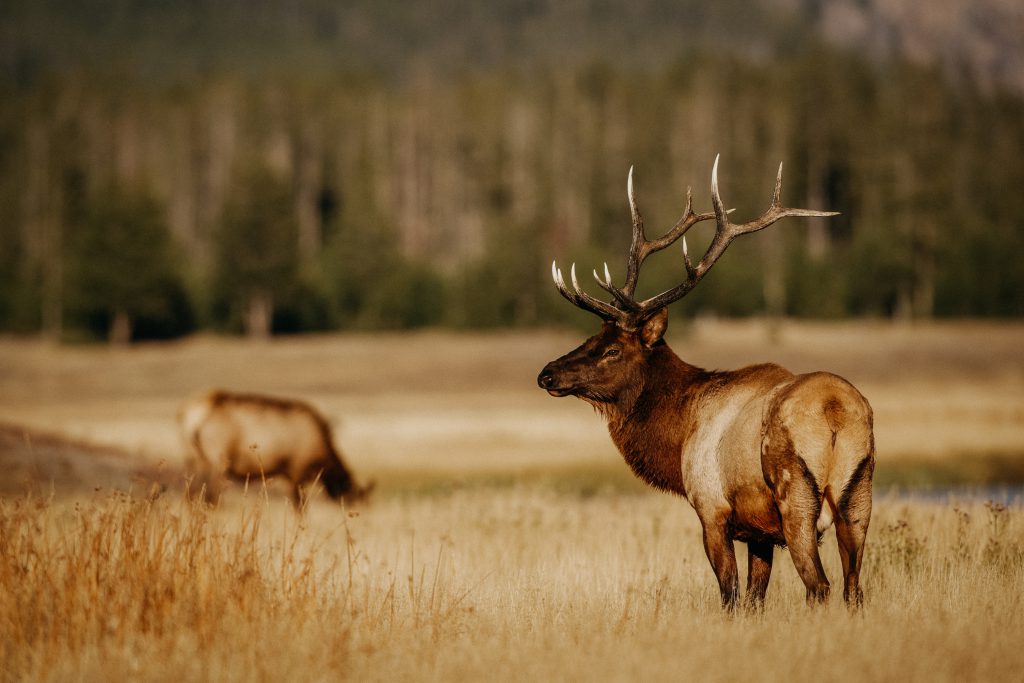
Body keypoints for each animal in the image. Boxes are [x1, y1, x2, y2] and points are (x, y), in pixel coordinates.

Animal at [177, 389, 372, 507]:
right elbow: (299, 507)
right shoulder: (296, 472)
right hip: (218, 460)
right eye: (355, 498)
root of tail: (192, 417)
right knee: (211, 496)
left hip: (192, 458)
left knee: (190, 494)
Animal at [536, 158, 872, 610]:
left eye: (611, 349)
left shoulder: (711, 509)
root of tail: (835, 411)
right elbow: (755, 599)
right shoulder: (759, 532)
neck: (680, 431)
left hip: (796, 495)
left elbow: (730, 594)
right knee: (854, 589)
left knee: (819, 586)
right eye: (591, 338)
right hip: (859, 494)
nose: (547, 373)